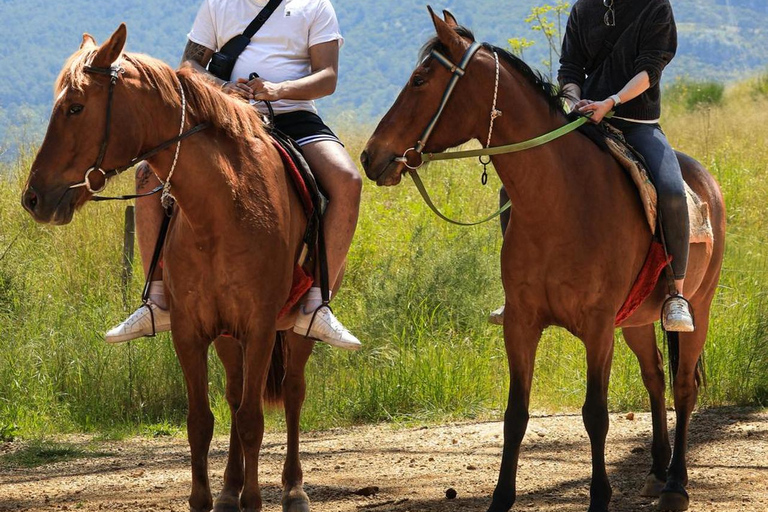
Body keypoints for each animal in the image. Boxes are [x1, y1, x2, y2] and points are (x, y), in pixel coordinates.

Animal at [21, 24, 323, 512]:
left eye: (75, 106)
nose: (33, 198)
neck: (222, 208)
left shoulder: (259, 327)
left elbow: (253, 419)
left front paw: (255, 498)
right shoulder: (190, 329)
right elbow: (202, 420)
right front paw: (209, 496)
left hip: (292, 328)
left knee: (293, 392)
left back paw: (293, 489)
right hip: (228, 336)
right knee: (235, 393)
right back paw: (229, 489)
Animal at [361, 9, 725, 512]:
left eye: (419, 80)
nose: (370, 157)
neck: (563, 199)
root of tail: (706, 183)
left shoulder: (597, 326)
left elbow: (595, 414)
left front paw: (599, 497)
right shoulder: (521, 322)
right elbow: (515, 414)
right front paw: (500, 498)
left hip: (698, 309)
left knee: (684, 387)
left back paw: (675, 484)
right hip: (634, 320)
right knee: (654, 378)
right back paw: (655, 471)